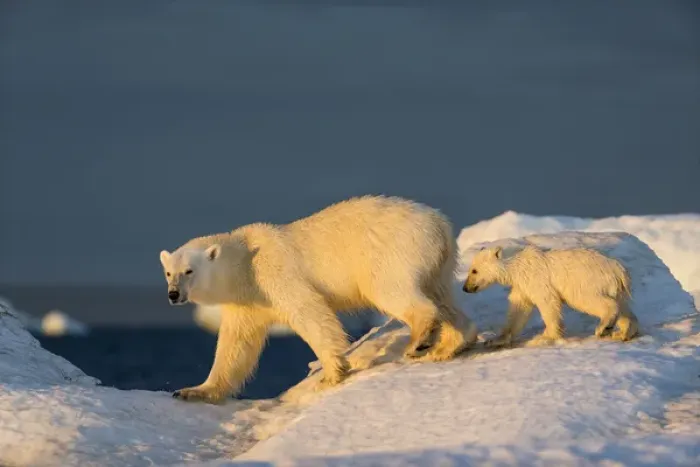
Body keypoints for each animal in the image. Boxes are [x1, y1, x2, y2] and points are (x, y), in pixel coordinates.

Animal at [159, 195, 478, 403]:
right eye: (168, 272)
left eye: (189, 271)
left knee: (395, 291)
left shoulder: (274, 275)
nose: (174, 294)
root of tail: (440, 223)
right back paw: (450, 344)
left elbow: (309, 312)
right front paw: (193, 390)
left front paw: (332, 372)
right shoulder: (247, 302)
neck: (244, 262)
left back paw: (419, 340)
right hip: (438, 262)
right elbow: (236, 344)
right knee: (442, 296)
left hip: (392, 252)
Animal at [462, 244, 638, 347]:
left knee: (591, 300)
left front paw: (543, 337)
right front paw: (495, 340)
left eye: (474, 271)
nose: (465, 288)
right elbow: (518, 308)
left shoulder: (536, 279)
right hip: (615, 288)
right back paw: (623, 332)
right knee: (624, 308)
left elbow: (548, 302)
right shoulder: (522, 286)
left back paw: (603, 328)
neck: (517, 266)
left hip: (586, 281)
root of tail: (618, 270)